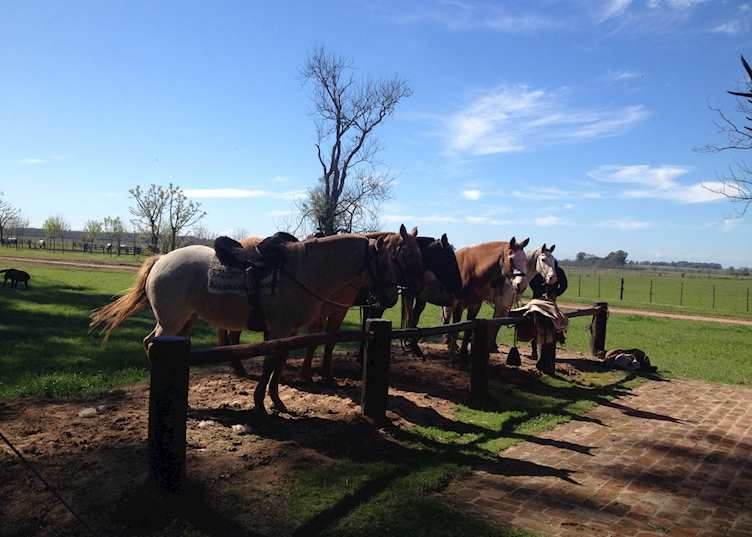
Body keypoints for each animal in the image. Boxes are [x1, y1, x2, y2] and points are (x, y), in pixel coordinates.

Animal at [90, 233, 399, 416]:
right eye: (384, 264)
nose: (391, 298)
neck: (303, 271)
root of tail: (162, 258)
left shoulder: (289, 332)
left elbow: (278, 366)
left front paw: (277, 401)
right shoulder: (278, 330)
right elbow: (269, 364)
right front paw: (260, 403)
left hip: (185, 321)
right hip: (171, 320)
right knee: (150, 343)